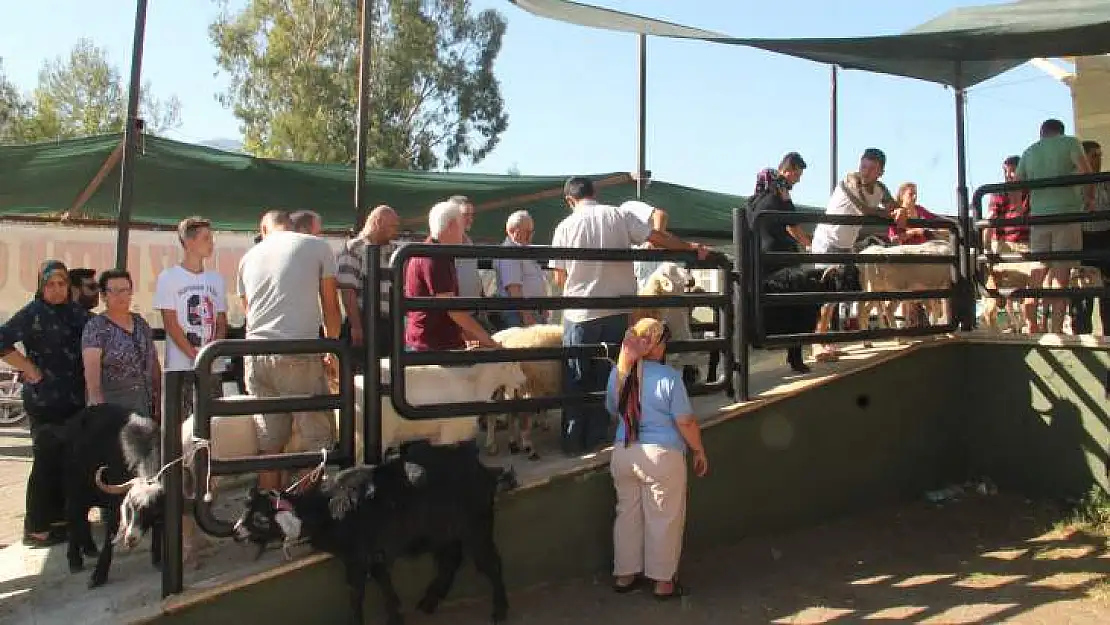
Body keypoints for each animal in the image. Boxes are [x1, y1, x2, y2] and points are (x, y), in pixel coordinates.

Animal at [64, 404, 164, 590]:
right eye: (129, 508)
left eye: (150, 511)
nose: (130, 538)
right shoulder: (114, 507)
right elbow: (110, 534)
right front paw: (97, 576)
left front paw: (158, 560)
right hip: (75, 487)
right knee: (74, 515)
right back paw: (74, 560)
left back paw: (89, 548)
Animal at [234, 441, 519, 625]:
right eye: (245, 511)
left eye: (260, 518)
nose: (236, 533)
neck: (329, 508)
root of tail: (484, 471)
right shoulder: (375, 555)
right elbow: (384, 584)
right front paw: (396, 616)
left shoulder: (358, 558)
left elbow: (356, 593)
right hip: (446, 533)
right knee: (451, 561)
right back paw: (429, 602)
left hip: (477, 527)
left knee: (490, 564)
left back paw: (500, 611)